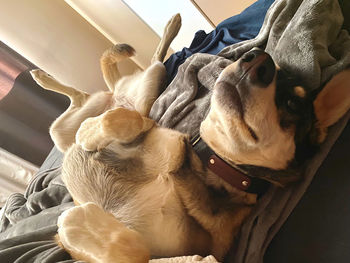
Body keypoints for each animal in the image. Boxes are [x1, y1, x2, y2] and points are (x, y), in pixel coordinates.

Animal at [30, 14, 350, 263]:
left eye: (294, 103)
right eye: (277, 70)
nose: (258, 60)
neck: (209, 166)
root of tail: (118, 93)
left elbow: (136, 251)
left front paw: (78, 224)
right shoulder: (153, 128)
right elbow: (125, 120)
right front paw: (91, 132)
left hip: (141, 86)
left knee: (126, 77)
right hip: (80, 123)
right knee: (96, 97)